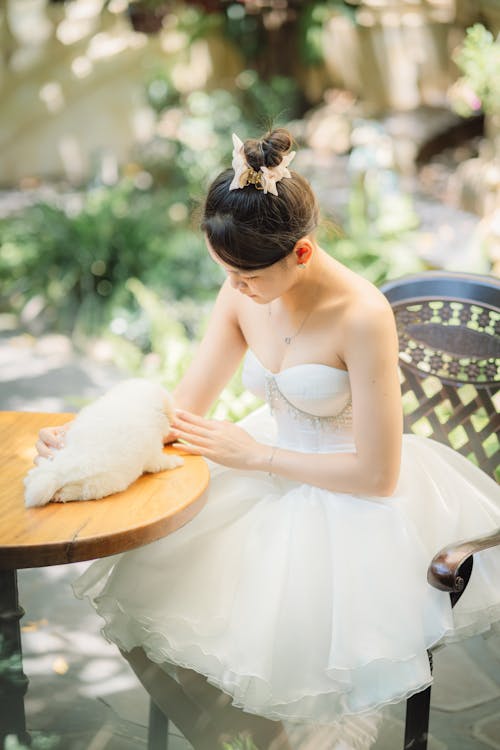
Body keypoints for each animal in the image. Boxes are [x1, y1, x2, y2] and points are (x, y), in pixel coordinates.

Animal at [23, 378, 184, 508]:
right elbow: (162, 462)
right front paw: (176, 461)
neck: (134, 400)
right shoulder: (153, 455)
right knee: (82, 492)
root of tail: (59, 471)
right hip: (102, 483)